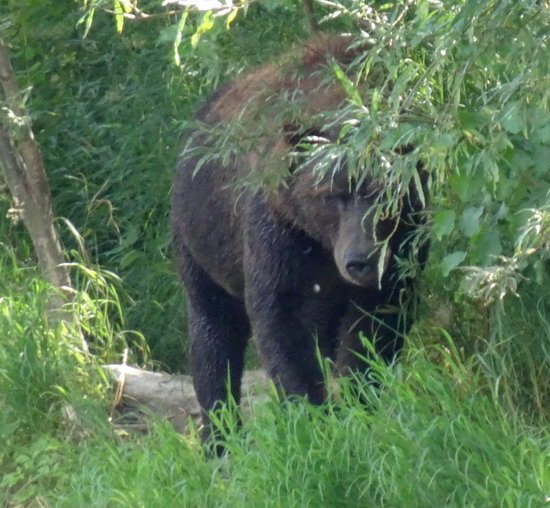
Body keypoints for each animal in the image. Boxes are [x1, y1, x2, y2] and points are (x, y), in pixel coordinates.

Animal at [170, 33, 430, 442]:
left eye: (386, 195)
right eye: (334, 194)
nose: (360, 261)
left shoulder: (404, 244)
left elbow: (375, 326)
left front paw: (358, 404)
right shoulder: (279, 231)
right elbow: (282, 318)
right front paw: (314, 414)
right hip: (199, 244)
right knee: (212, 334)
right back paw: (221, 434)